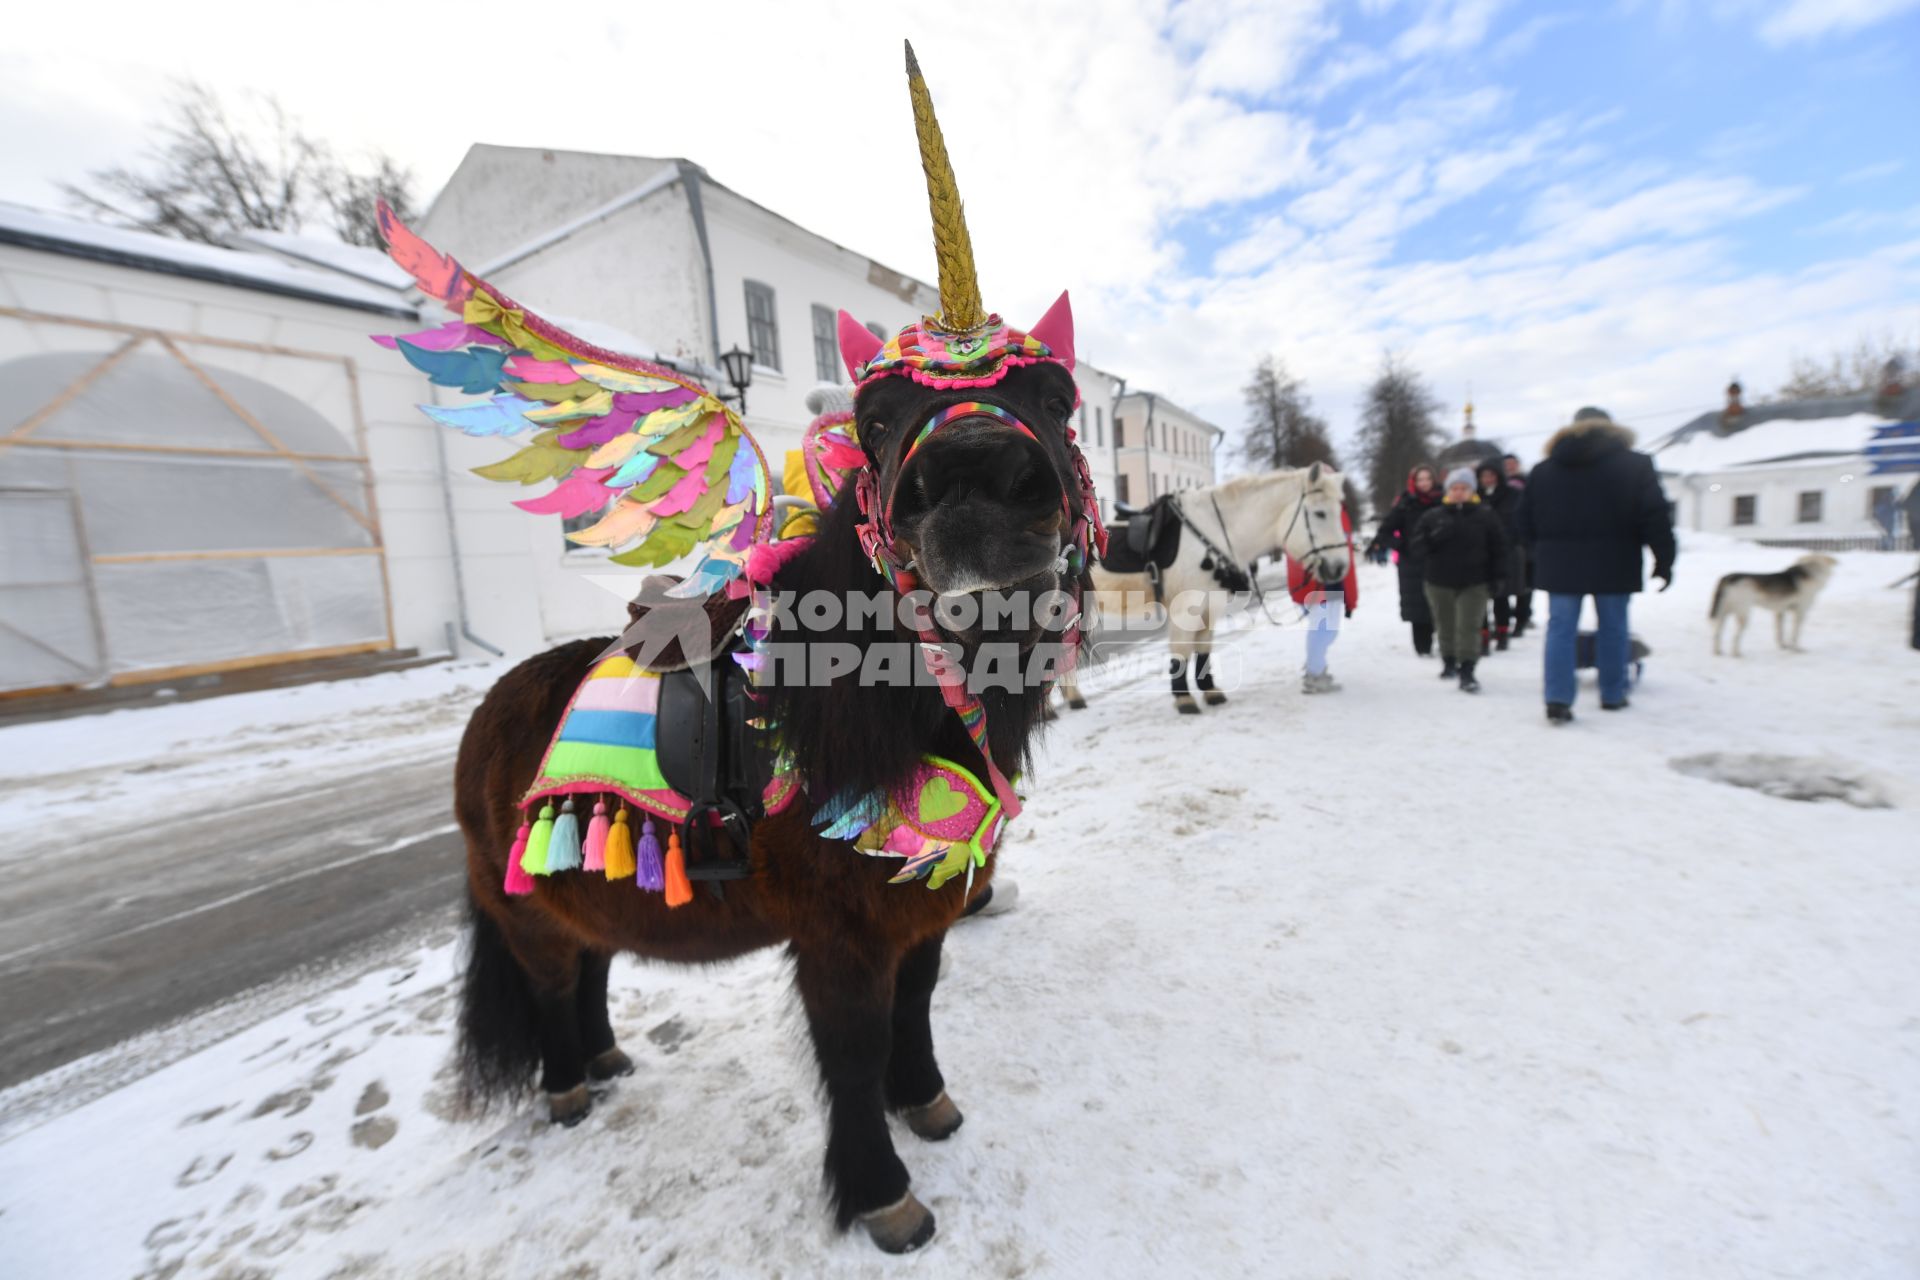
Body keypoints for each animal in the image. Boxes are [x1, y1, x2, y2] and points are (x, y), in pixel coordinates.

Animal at [441, 353, 1090, 1251]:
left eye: (1058, 399)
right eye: (873, 420)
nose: (979, 489)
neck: (852, 716)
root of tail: (485, 716)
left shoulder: (918, 915)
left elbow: (915, 1009)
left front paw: (927, 1104)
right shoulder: (840, 938)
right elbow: (854, 1052)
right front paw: (884, 1196)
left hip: (591, 889)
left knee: (592, 968)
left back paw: (606, 1061)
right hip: (530, 916)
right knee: (551, 987)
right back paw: (569, 1090)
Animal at [1067, 466, 1351, 717]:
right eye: (1320, 513)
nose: (1338, 567)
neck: (1213, 533)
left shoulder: (1210, 607)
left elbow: (1203, 650)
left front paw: (1211, 692)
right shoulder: (1185, 609)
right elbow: (1181, 651)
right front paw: (1184, 699)